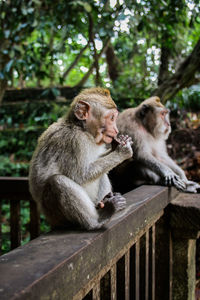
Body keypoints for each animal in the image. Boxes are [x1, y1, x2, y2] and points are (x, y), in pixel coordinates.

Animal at [28, 86, 133, 230]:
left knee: (101, 173)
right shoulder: (74, 141)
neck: (82, 129)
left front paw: (117, 144)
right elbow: (81, 175)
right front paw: (122, 151)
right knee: (58, 181)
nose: (116, 130)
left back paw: (105, 200)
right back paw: (98, 219)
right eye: (111, 118)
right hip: (55, 214)